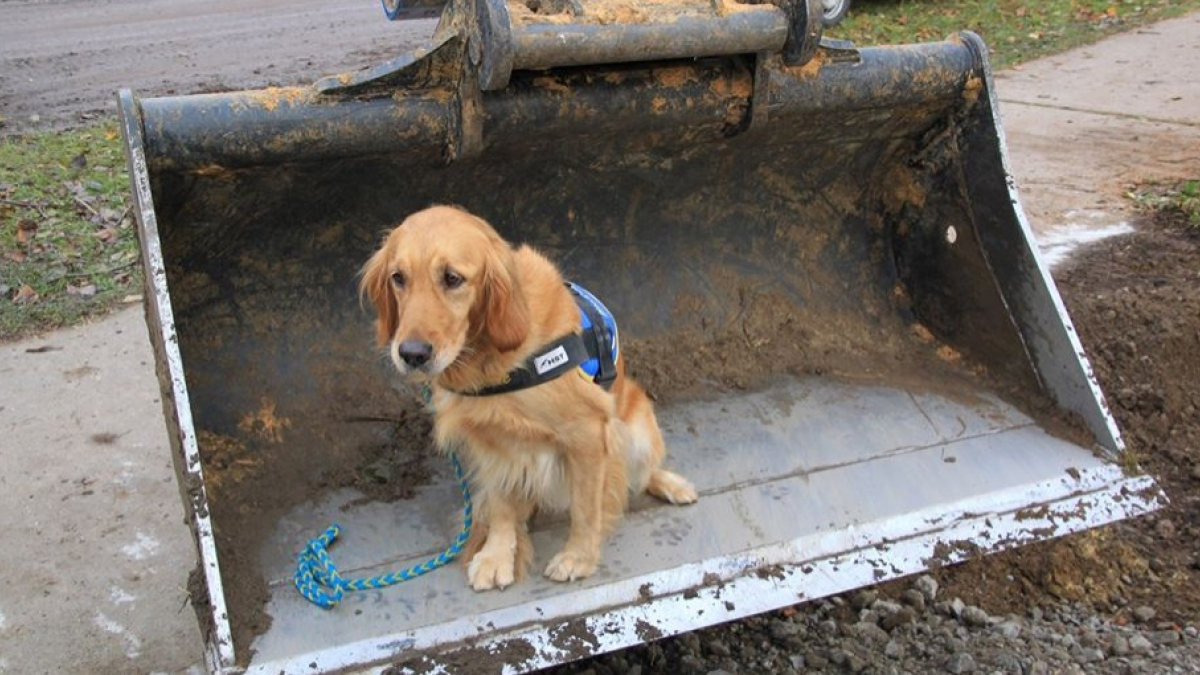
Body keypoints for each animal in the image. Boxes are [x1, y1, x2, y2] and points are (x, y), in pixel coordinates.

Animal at [357, 205, 696, 588]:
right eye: (398, 278)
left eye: (452, 278)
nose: (412, 354)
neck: (494, 358)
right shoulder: (491, 444)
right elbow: (501, 506)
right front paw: (497, 555)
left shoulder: (588, 434)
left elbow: (585, 509)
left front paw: (578, 558)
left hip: (637, 430)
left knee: (641, 472)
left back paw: (671, 484)